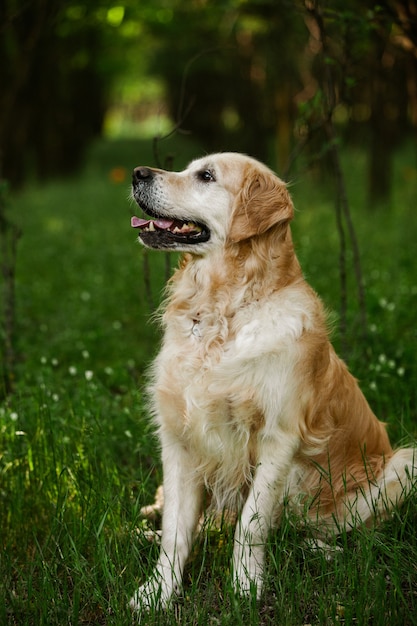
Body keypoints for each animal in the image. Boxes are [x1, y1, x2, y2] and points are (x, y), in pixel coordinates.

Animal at [128, 151, 414, 608]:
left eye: (205, 176)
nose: (138, 173)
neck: (223, 312)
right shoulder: (180, 439)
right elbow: (175, 532)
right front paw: (157, 592)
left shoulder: (277, 438)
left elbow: (251, 524)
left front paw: (246, 586)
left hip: (402, 467)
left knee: (334, 532)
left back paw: (322, 551)